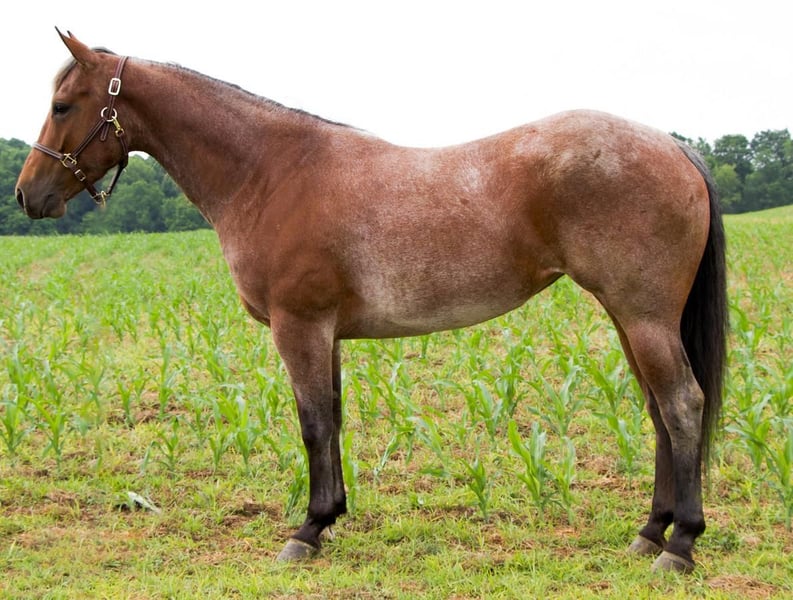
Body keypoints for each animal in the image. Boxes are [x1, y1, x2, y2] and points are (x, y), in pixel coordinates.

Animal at [15, 30, 727, 573]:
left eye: (62, 105)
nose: (27, 196)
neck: (269, 172)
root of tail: (675, 146)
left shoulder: (298, 327)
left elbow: (312, 424)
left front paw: (305, 532)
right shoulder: (325, 334)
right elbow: (331, 419)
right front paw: (329, 518)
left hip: (642, 318)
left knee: (682, 406)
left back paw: (680, 545)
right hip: (631, 320)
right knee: (659, 413)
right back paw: (650, 533)